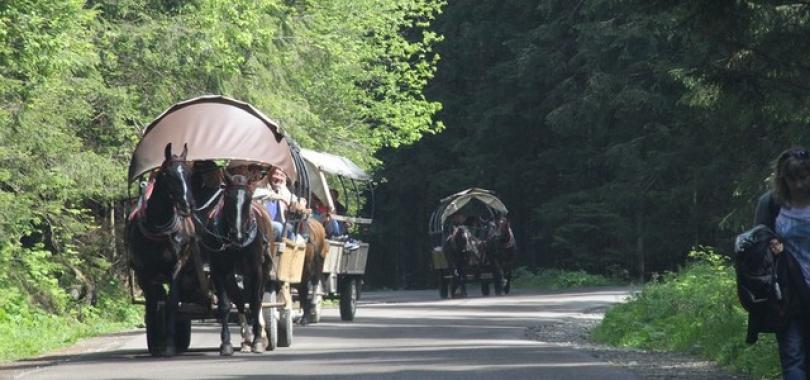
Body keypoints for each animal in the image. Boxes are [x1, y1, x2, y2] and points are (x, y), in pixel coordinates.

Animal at [129, 142, 200, 356]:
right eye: (168, 174)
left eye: (189, 173)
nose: (188, 205)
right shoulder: (144, 272)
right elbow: (153, 305)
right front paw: (156, 343)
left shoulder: (176, 268)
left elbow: (172, 303)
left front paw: (169, 344)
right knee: (157, 298)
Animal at [200, 174, 274, 354]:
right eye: (227, 197)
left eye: (248, 200)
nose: (237, 235)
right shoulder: (219, 271)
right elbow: (225, 306)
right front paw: (226, 343)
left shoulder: (256, 270)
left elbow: (255, 302)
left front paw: (258, 340)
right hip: (234, 276)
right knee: (240, 301)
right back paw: (246, 339)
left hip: (264, 270)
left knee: (258, 298)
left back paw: (259, 336)